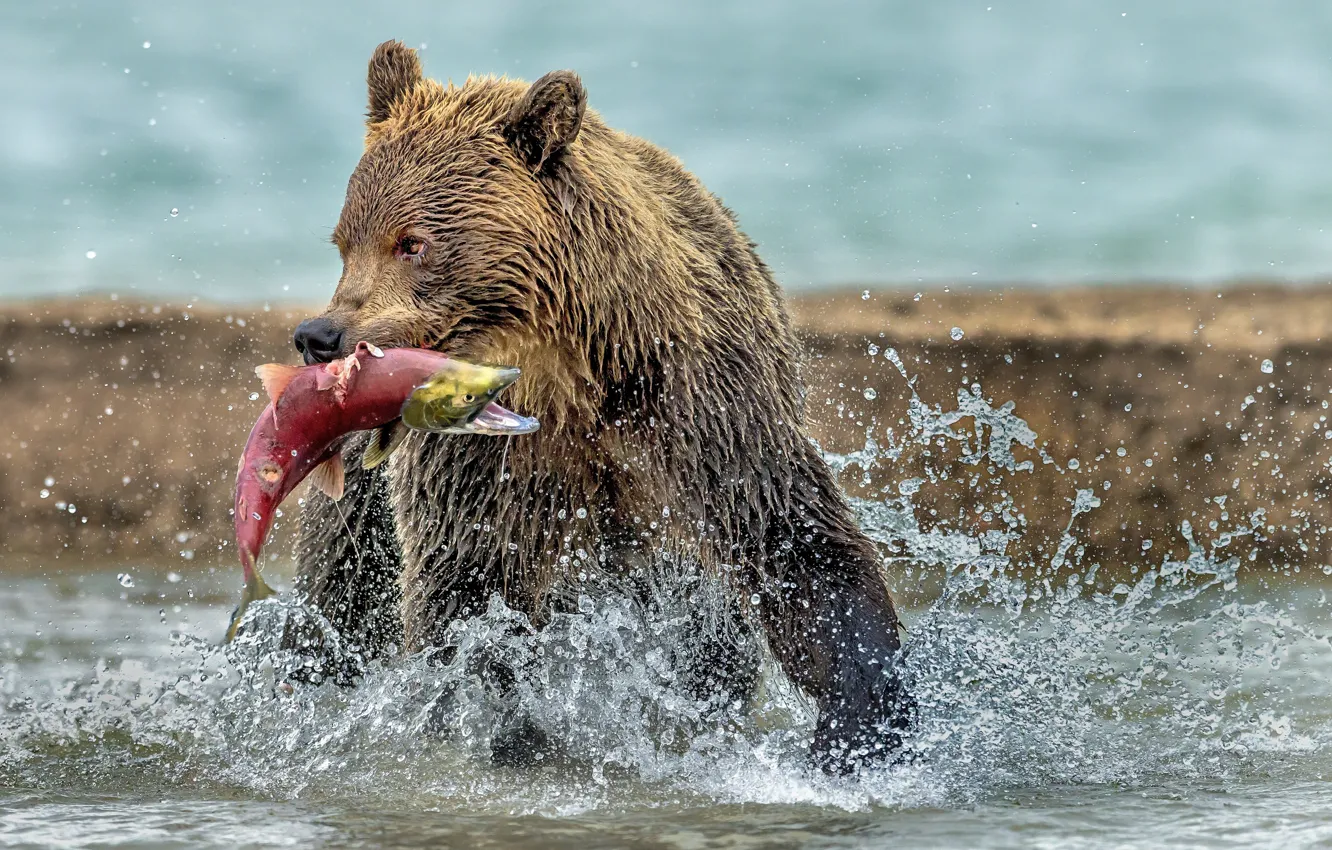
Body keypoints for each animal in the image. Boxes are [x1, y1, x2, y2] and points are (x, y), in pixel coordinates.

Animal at [288, 40, 910, 773]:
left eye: (412, 242)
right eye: (344, 241)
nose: (320, 337)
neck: (569, 370)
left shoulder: (699, 405)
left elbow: (790, 536)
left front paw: (862, 721)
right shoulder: (483, 459)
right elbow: (469, 584)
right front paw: (500, 724)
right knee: (340, 589)